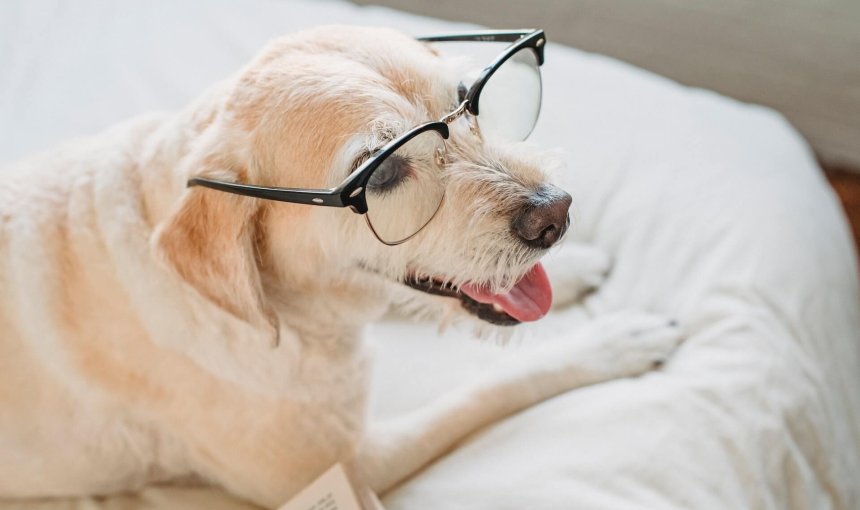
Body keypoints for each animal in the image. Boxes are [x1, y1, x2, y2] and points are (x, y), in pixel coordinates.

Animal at [0, 25, 680, 508]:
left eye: (469, 101)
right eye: (383, 172)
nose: (556, 215)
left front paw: (577, 270)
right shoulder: (352, 464)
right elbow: (492, 386)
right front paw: (611, 342)